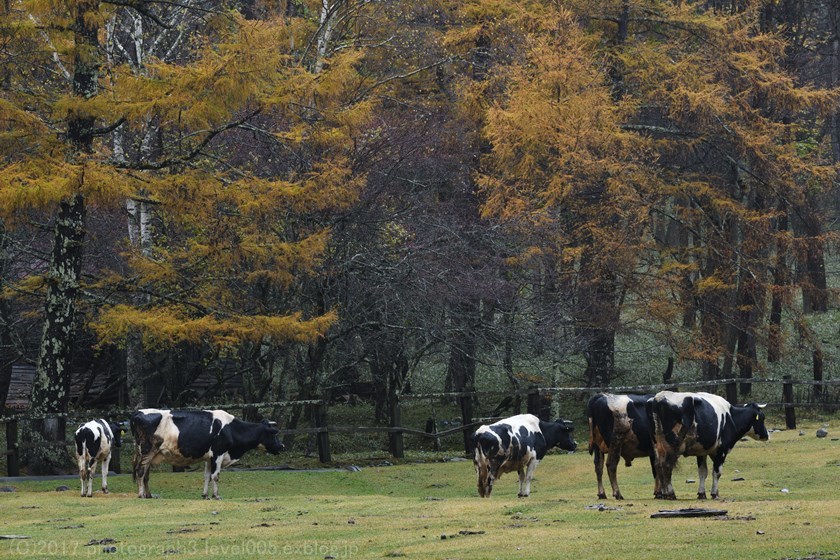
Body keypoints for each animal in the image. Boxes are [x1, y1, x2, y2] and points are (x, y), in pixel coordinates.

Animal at [130, 406, 284, 498]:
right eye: (274, 433)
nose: (282, 446)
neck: (231, 429)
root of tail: (138, 412)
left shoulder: (209, 457)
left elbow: (206, 476)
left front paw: (205, 495)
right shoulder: (218, 453)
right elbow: (215, 476)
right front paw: (216, 495)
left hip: (147, 453)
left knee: (146, 474)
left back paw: (149, 495)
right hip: (147, 450)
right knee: (140, 471)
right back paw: (141, 495)